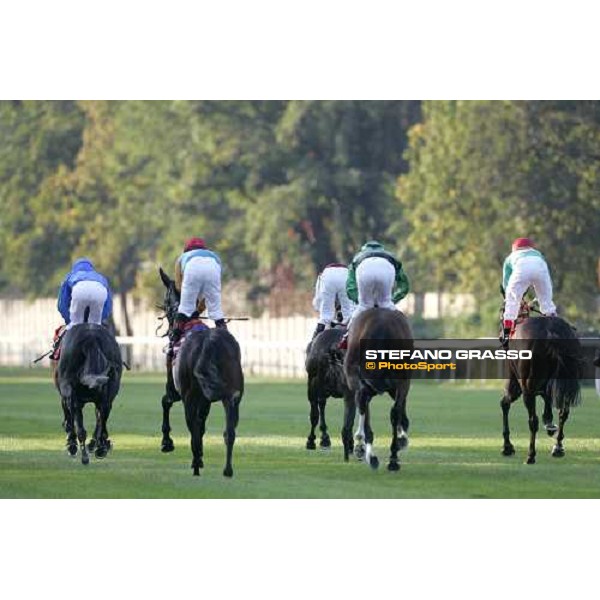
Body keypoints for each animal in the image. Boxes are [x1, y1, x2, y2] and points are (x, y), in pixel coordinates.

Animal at [54, 318, 123, 464]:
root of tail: (91, 337)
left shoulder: (68, 396)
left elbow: (72, 421)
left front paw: (73, 445)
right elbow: (99, 420)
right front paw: (97, 445)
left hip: (70, 393)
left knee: (80, 426)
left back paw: (84, 452)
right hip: (108, 393)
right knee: (101, 419)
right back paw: (99, 448)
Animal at [159, 268, 246, 478]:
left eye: (165, 299)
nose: (170, 331)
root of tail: (209, 342)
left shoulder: (176, 390)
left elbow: (166, 402)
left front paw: (167, 443)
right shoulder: (205, 400)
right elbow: (203, 423)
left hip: (189, 398)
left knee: (193, 431)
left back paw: (196, 465)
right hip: (231, 398)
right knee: (229, 432)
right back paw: (227, 470)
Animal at [500, 314, 584, 464]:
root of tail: (550, 331)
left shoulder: (515, 382)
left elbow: (505, 403)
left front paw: (507, 447)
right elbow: (548, 400)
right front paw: (549, 422)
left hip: (527, 386)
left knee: (533, 420)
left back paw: (531, 455)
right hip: (567, 381)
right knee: (563, 413)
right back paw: (558, 447)